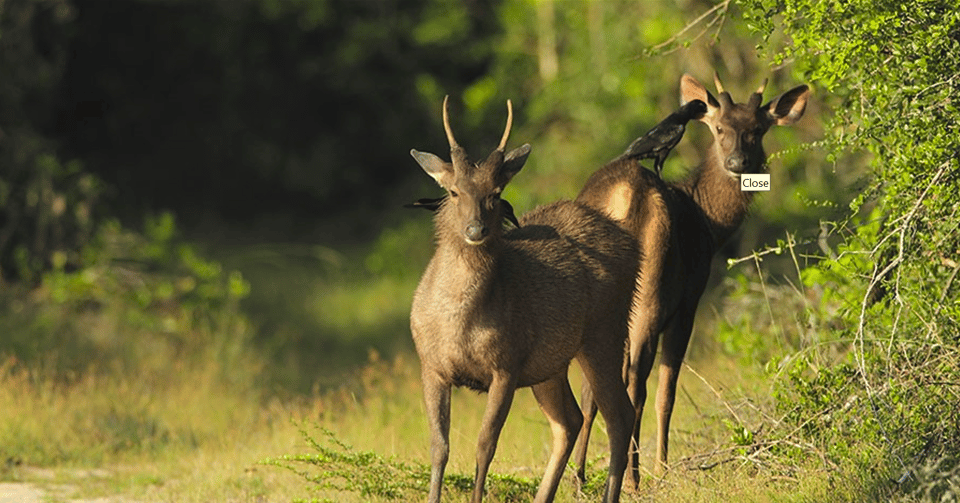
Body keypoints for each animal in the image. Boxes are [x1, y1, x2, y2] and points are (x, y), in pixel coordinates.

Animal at [410, 96, 636, 502]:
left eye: (496, 193)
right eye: (453, 192)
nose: (476, 230)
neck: (458, 324)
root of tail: (632, 243)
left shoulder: (507, 364)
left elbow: (485, 444)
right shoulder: (431, 365)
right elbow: (439, 447)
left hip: (605, 331)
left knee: (618, 416)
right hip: (551, 363)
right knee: (571, 420)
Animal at [568, 73, 808, 486]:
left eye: (757, 129)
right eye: (719, 128)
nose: (738, 162)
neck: (710, 224)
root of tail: (625, 196)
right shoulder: (689, 301)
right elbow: (668, 392)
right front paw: (662, 468)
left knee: (595, 383)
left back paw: (583, 476)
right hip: (652, 295)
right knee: (637, 382)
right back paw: (634, 478)